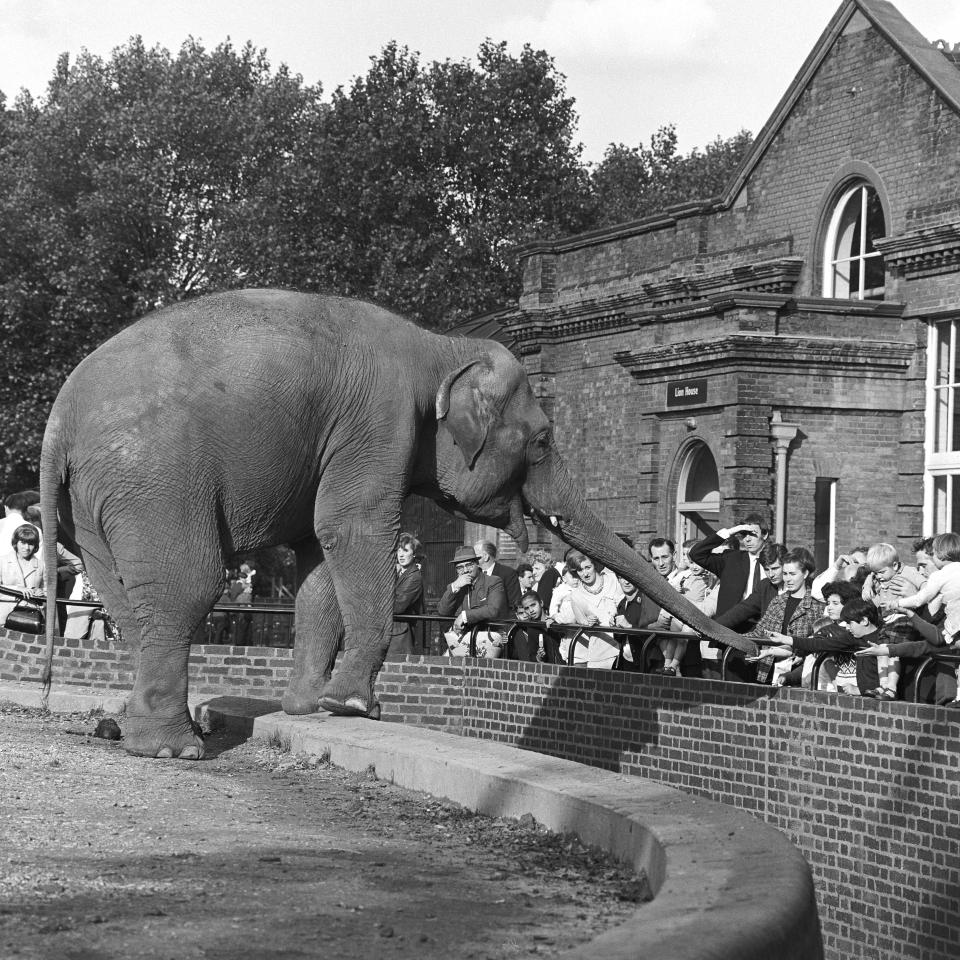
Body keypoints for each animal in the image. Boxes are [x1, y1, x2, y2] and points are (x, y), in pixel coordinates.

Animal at [41, 286, 752, 756]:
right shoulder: (377, 422)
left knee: (128, 598)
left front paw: (307, 707)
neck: (439, 345)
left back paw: (129, 727)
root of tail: (59, 420)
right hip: (154, 479)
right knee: (188, 587)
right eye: (544, 440)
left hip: (99, 500)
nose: (756, 646)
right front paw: (353, 707)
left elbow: (319, 560)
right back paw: (171, 748)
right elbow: (350, 531)